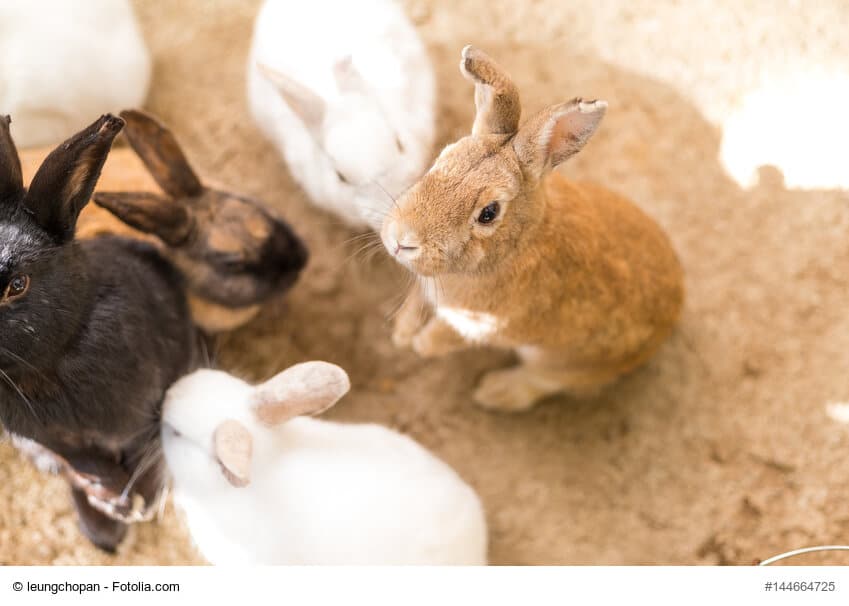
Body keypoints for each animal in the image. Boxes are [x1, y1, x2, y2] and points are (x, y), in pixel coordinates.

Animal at [0, 114, 202, 552]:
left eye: (18, 285)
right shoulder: (48, 439)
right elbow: (79, 460)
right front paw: (114, 496)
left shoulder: (141, 413)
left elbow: (141, 446)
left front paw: (134, 499)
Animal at [381, 46, 685, 413]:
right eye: (441, 158)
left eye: (489, 213)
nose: (400, 241)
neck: (517, 244)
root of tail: (674, 312)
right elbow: (416, 303)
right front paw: (401, 334)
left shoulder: (479, 325)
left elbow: (444, 336)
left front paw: (421, 346)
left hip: (561, 362)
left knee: (542, 382)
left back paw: (494, 391)